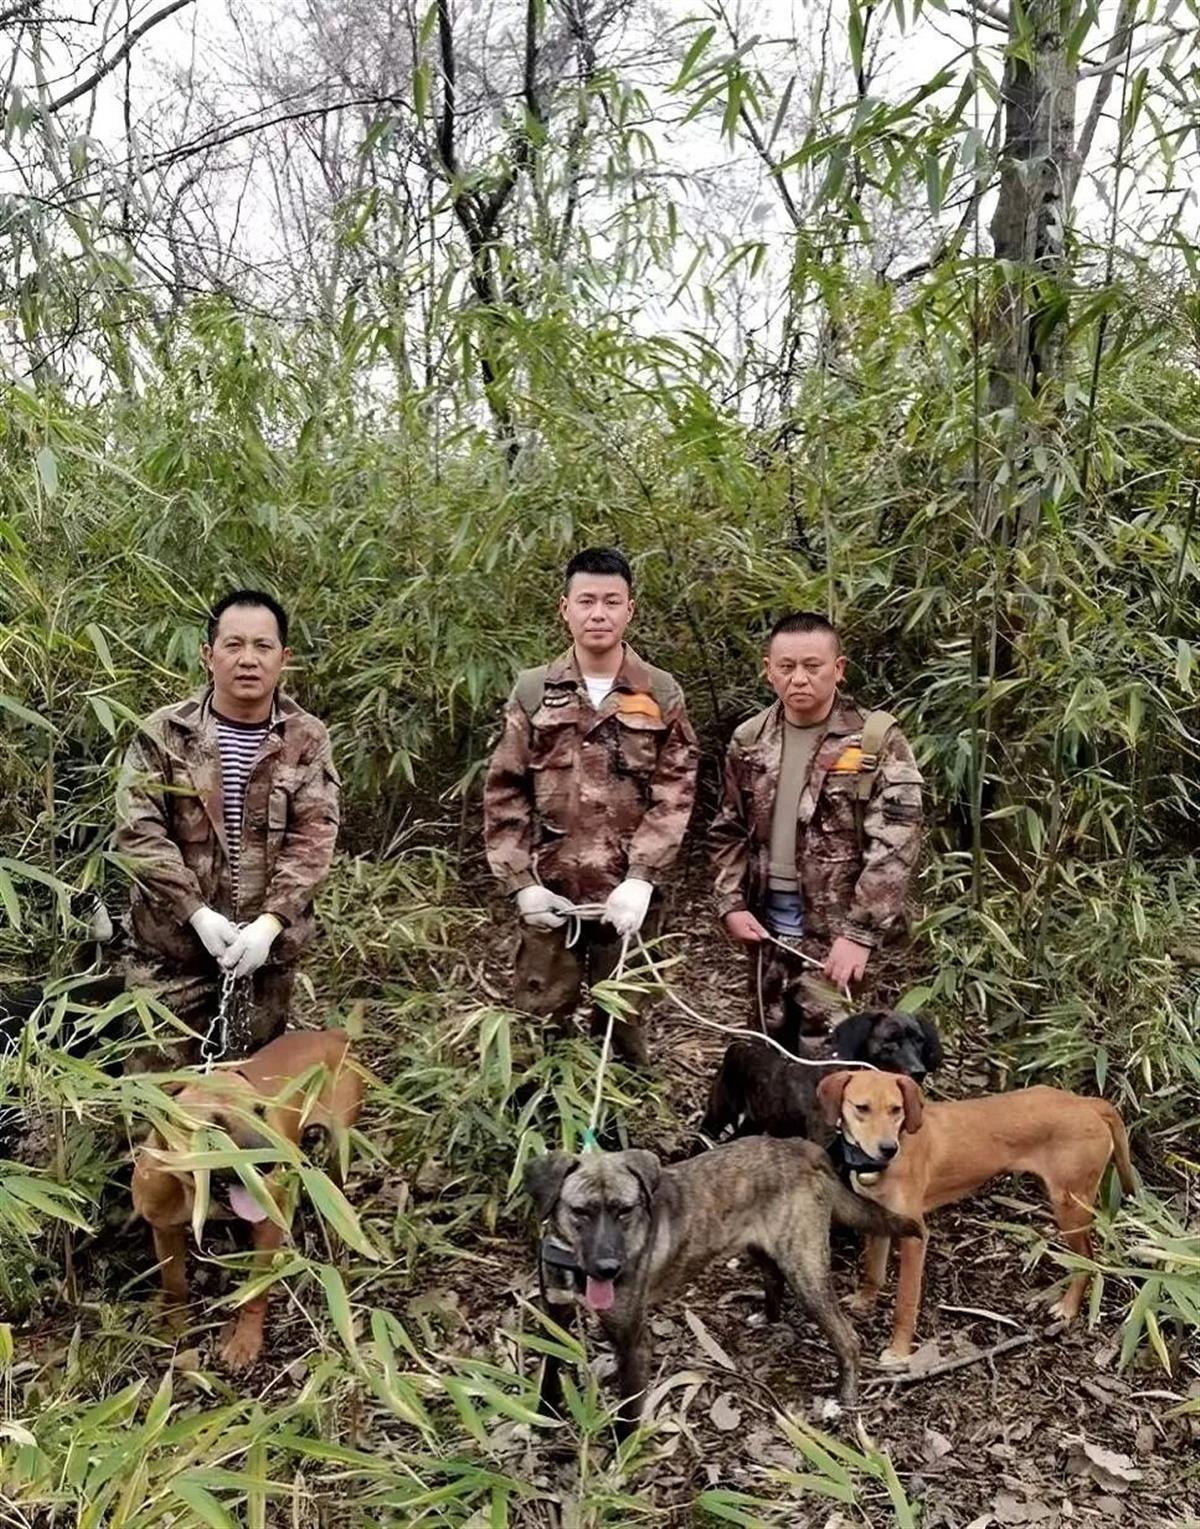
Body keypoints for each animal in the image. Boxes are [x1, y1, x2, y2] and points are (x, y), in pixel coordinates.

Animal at [131, 1033, 362, 1369]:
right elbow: (174, 1285)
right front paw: (174, 1327)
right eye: (213, 1128)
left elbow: (256, 1290)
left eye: (260, 1112)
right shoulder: (165, 1230)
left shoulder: (268, 1227)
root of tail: (331, 1034)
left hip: (339, 1144)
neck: (196, 1192)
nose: (268, 1160)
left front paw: (245, 1340)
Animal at [525, 1137, 917, 1431]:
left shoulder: (633, 1342)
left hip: (805, 1270)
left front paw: (619, 1465)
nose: (609, 1269)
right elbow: (548, 1370)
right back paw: (767, 1318)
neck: (574, 1265)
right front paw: (542, 1418)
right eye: (581, 1212)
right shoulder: (552, 1316)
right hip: (764, 1248)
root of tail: (803, 1148)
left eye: (625, 1210)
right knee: (773, 1277)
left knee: (848, 1338)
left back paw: (847, 1397)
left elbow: (629, 1414)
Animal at [694, 1009, 947, 1143]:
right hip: (718, 1114)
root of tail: (737, 1045)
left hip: (754, 1123)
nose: (918, 1072)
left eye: (919, 1041)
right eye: (889, 1041)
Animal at [813, 1070, 1131, 1369]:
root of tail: (1087, 1103)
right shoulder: (879, 1219)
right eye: (862, 1108)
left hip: (1070, 1206)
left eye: (896, 1109)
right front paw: (865, 1300)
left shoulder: (916, 1236)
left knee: (1087, 1259)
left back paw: (1067, 1307)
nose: (888, 1148)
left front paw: (899, 1351)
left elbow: (905, 1302)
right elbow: (873, 1271)